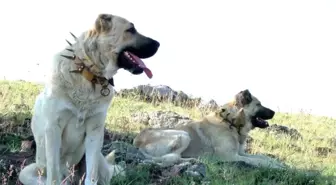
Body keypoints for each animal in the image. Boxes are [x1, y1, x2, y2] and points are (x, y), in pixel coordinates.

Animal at [18, 13, 160, 185]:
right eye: (131, 30)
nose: (159, 44)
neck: (88, 74)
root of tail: (69, 177)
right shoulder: (53, 129)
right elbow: (53, 175)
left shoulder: (95, 132)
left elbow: (91, 176)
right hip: (29, 171)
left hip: (98, 160)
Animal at [133, 89, 284, 169]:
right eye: (259, 104)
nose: (274, 113)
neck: (230, 121)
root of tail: (137, 142)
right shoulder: (230, 156)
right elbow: (258, 161)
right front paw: (276, 166)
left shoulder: (241, 153)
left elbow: (262, 157)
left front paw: (279, 163)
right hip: (183, 134)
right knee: (169, 158)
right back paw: (194, 161)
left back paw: (194, 161)